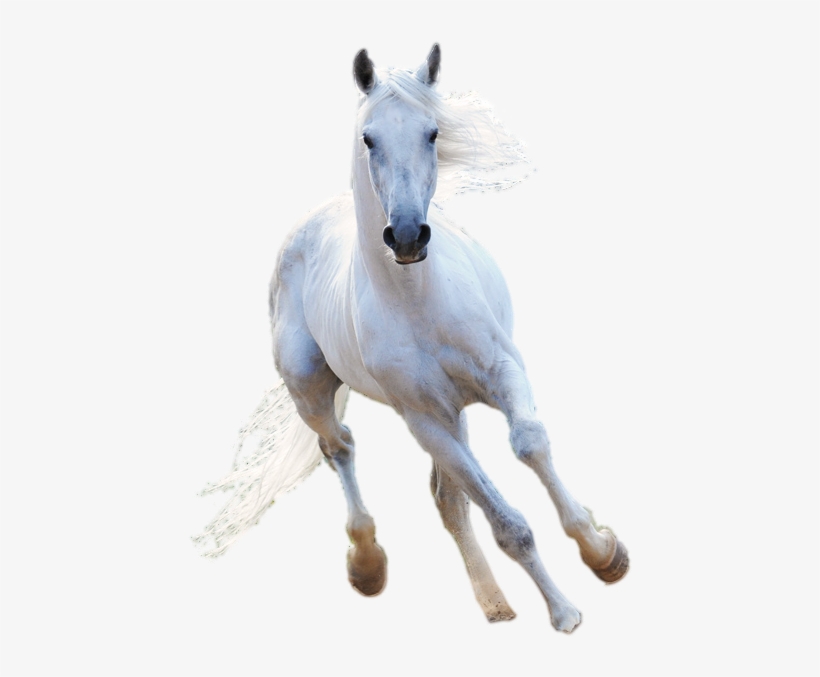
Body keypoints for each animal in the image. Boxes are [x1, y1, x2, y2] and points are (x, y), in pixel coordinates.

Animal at [196, 44, 629, 633]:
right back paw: (368, 563)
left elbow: (529, 444)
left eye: (432, 132)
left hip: (454, 410)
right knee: (341, 447)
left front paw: (602, 552)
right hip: (313, 391)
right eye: (368, 138)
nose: (405, 236)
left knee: (446, 497)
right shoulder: (426, 421)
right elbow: (507, 524)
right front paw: (564, 611)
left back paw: (494, 601)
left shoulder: (503, 373)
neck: (417, 302)